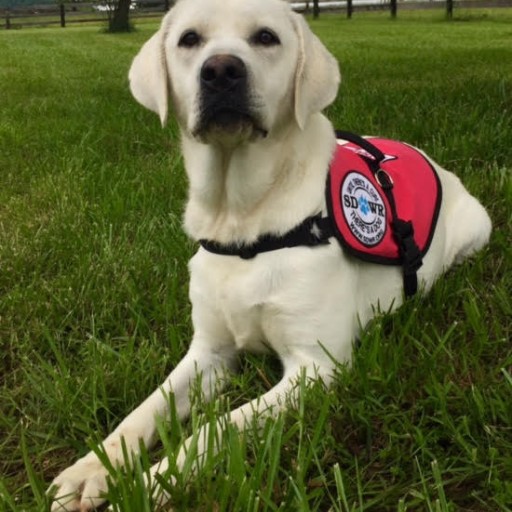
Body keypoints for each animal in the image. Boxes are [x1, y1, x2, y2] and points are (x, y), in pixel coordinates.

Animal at [48, 0, 492, 510]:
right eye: (189, 39)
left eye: (266, 37)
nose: (221, 71)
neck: (242, 221)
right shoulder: (209, 352)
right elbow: (145, 409)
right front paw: (90, 471)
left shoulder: (315, 366)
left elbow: (215, 430)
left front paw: (149, 484)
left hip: (478, 229)